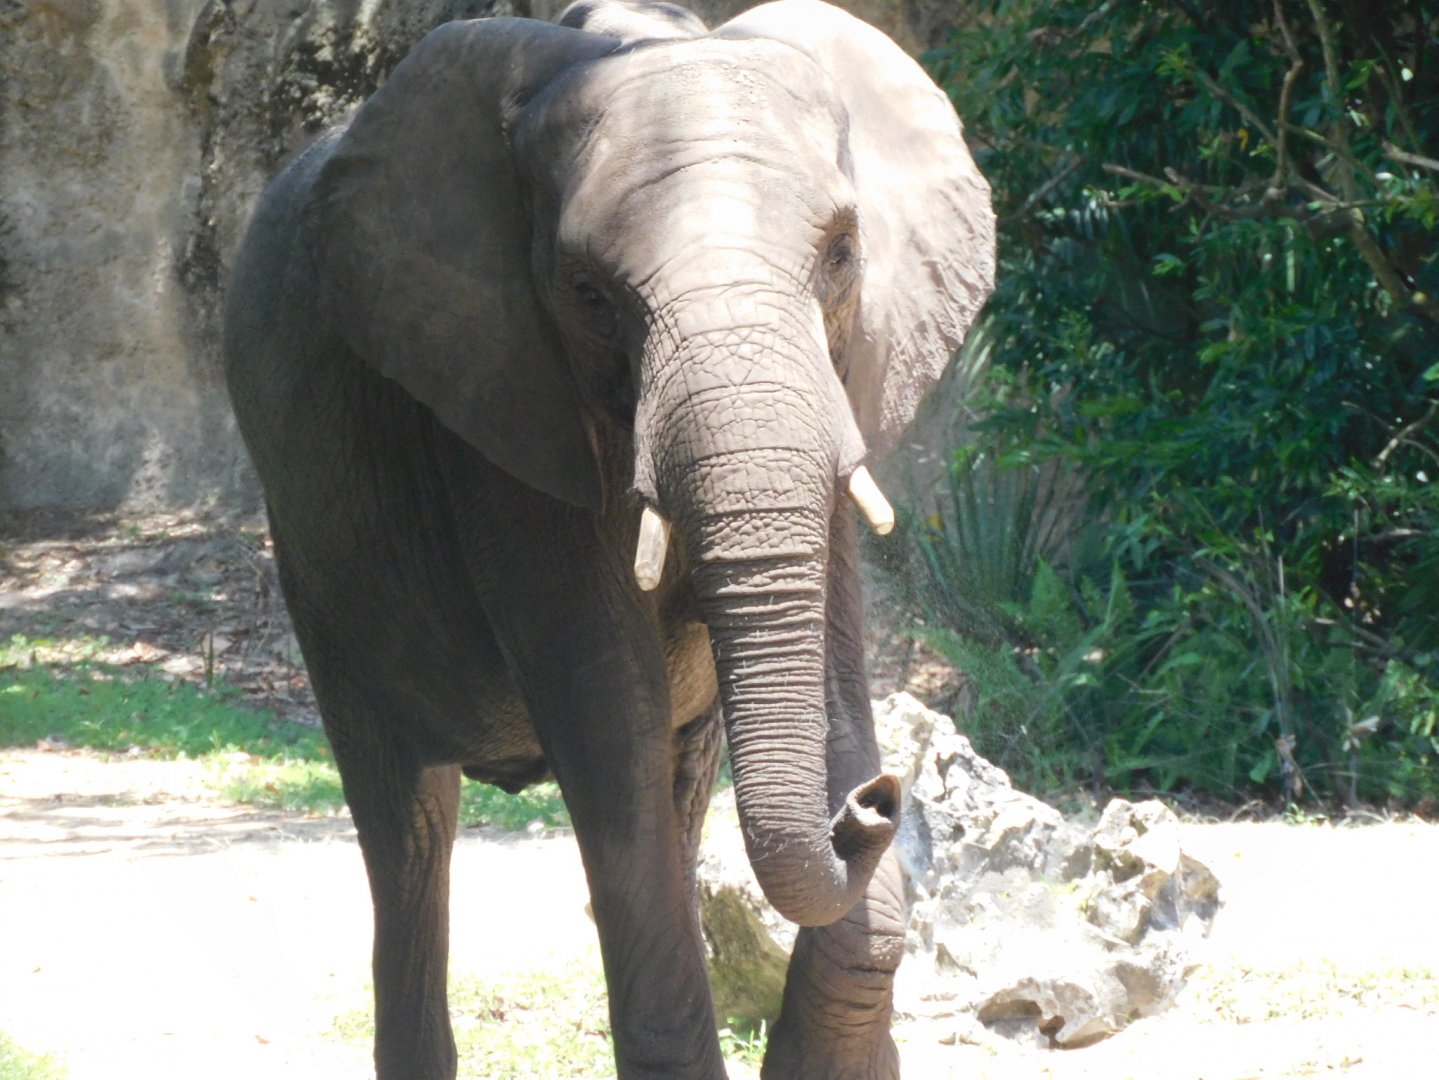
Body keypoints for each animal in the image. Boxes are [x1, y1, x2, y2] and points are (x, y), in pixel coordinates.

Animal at [221, 1, 993, 1076]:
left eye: (842, 251)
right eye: (588, 294)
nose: (876, 800)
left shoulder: (846, 376)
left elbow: (828, 656)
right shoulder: (496, 400)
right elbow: (602, 703)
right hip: (317, 566)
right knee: (410, 826)